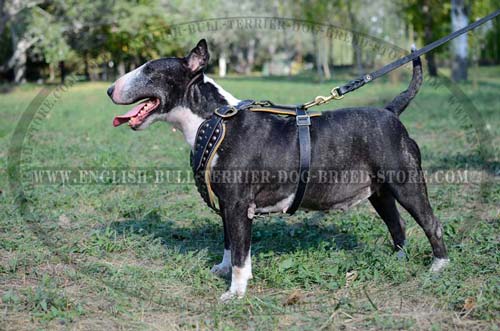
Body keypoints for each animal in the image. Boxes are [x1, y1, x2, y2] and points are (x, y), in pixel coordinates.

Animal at [107, 40, 452, 302]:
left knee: (431, 223)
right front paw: (222, 269)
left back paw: (439, 267)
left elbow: (241, 254)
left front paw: (234, 293)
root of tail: (391, 111)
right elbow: (229, 243)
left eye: (150, 70)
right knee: (397, 225)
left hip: (406, 183)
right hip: (379, 192)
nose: (110, 89)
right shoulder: (227, 205)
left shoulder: (238, 205)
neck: (214, 121)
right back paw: (398, 260)